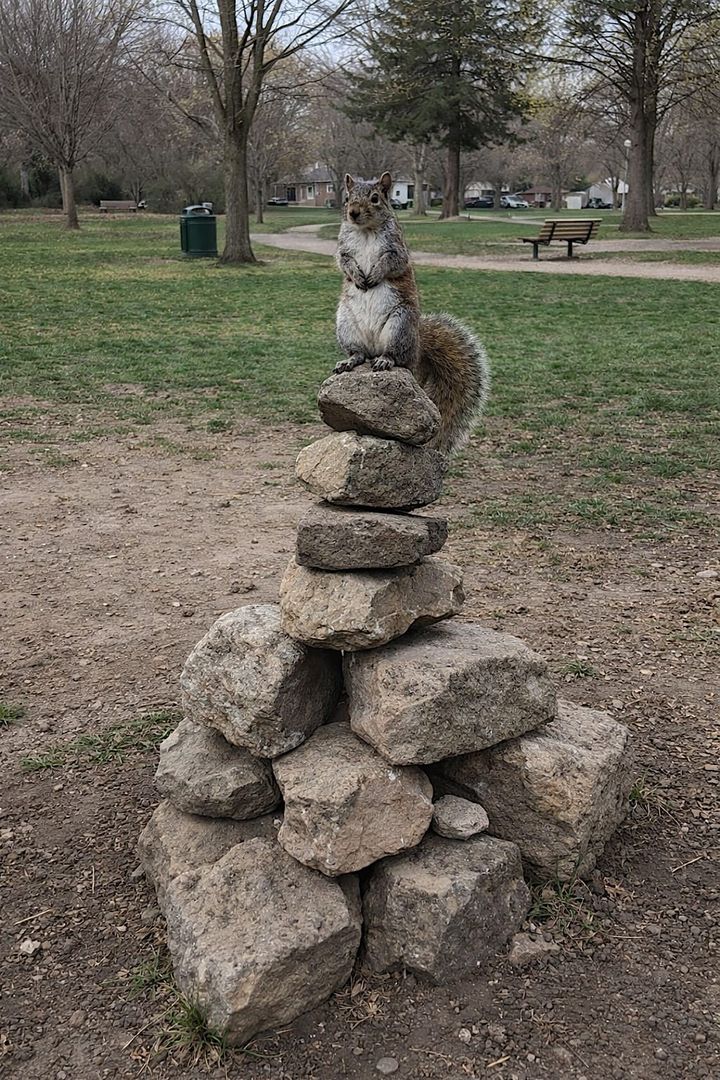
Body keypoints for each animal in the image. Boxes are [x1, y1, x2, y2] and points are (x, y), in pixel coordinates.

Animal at [334, 171, 490, 455]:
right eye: (348, 198)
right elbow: (345, 262)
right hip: (346, 324)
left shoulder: (397, 249)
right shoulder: (343, 249)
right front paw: (358, 277)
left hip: (400, 325)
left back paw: (385, 361)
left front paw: (374, 275)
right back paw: (351, 360)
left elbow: (391, 263)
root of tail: (417, 347)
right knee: (359, 353)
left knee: (398, 358)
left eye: (375, 198)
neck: (365, 231)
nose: (353, 213)